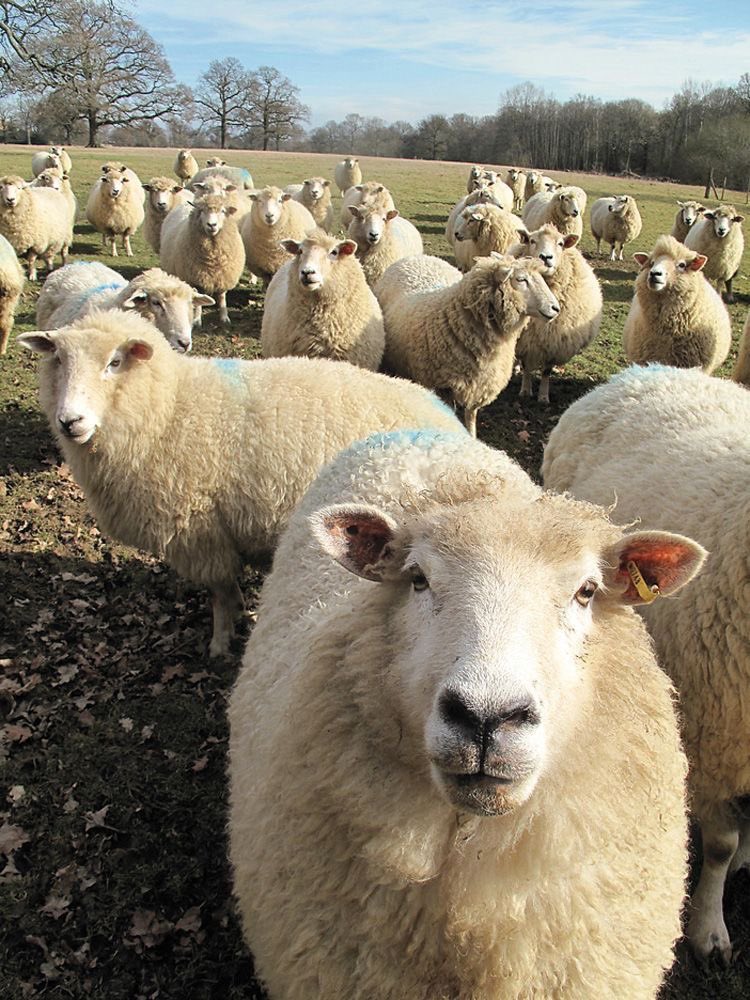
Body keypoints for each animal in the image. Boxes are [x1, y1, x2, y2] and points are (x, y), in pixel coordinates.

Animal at [19, 310, 465, 656]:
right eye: (58, 361)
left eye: (114, 362)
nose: (70, 421)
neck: (169, 409)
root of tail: (445, 416)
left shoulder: (200, 533)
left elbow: (220, 593)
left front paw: (221, 640)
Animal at [160, 194, 244, 326]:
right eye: (201, 211)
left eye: (223, 211)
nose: (212, 225)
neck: (213, 257)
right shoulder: (198, 279)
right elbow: (200, 300)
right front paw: (197, 320)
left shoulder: (223, 276)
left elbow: (222, 298)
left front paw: (224, 317)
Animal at [376, 252, 560, 436]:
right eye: (521, 279)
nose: (556, 308)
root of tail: (418, 256)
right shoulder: (443, 387)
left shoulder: (479, 387)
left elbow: (471, 416)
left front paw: (472, 436)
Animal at [510, 224, 602, 403]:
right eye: (532, 240)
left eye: (560, 243)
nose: (545, 257)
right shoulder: (525, 341)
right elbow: (526, 366)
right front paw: (525, 391)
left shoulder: (554, 343)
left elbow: (546, 371)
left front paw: (543, 397)